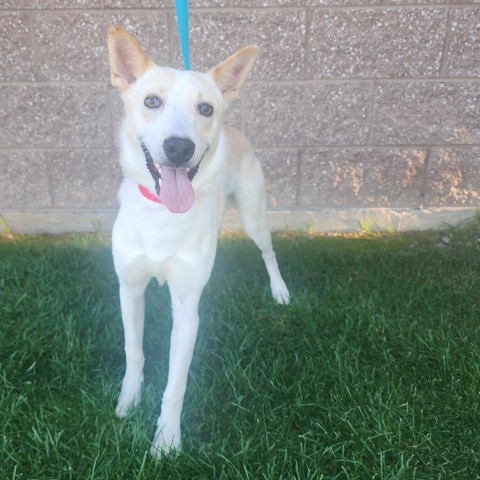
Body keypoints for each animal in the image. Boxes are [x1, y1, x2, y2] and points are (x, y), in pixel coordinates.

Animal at [107, 25, 290, 458]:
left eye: (205, 108)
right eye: (151, 101)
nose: (179, 147)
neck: (163, 214)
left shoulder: (188, 310)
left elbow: (176, 385)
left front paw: (166, 440)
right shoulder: (129, 288)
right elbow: (134, 352)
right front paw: (128, 400)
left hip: (254, 216)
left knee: (268, 251)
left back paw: (279, 290)